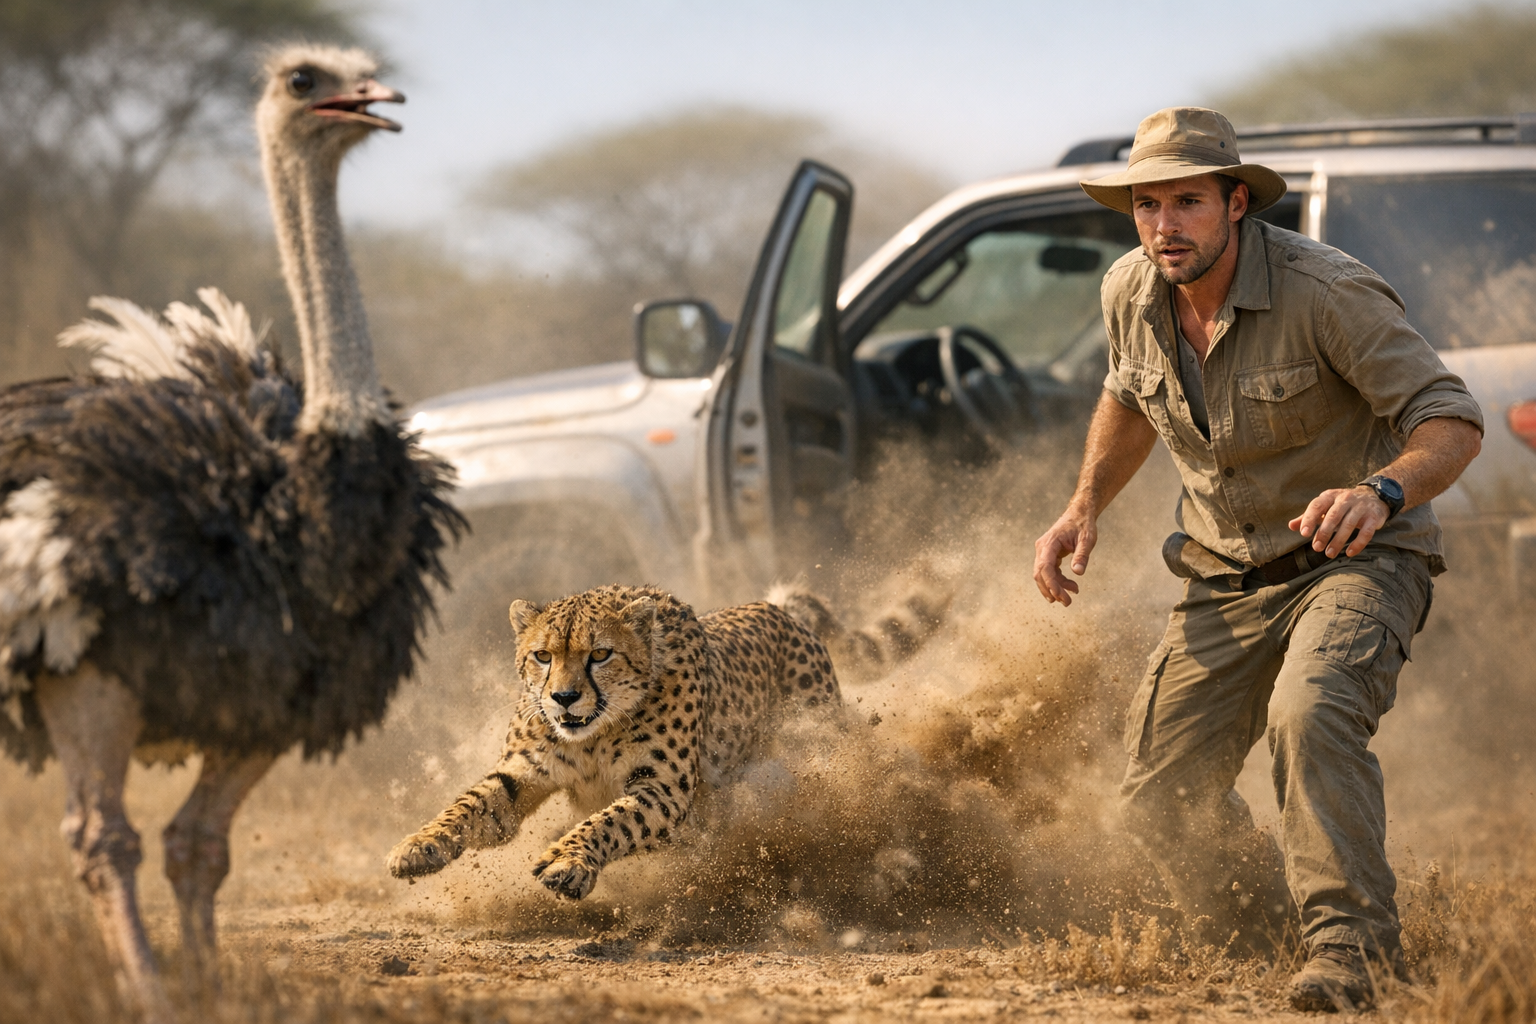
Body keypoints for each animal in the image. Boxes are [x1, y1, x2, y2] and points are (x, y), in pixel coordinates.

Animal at [386, 583, 852, 900]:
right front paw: (420, 844)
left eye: (600, 654)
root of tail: (775, 609)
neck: (593, 735)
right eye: (543, 656)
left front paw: (567, 859)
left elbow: (613, 820)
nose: (564, 697)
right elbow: (470, 804)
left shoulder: (663, 788)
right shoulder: (522, 770)